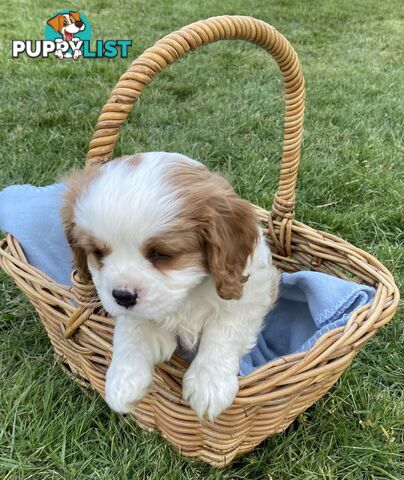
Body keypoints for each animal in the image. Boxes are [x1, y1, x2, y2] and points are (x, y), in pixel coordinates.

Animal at [62, 152, 278, 418]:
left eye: (161, 254)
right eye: (97, 253)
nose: (122, 296)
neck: (186, 297)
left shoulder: (250, 295)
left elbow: (223, 330)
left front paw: (209, 383)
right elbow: (131, 327)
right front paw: (123, 379)